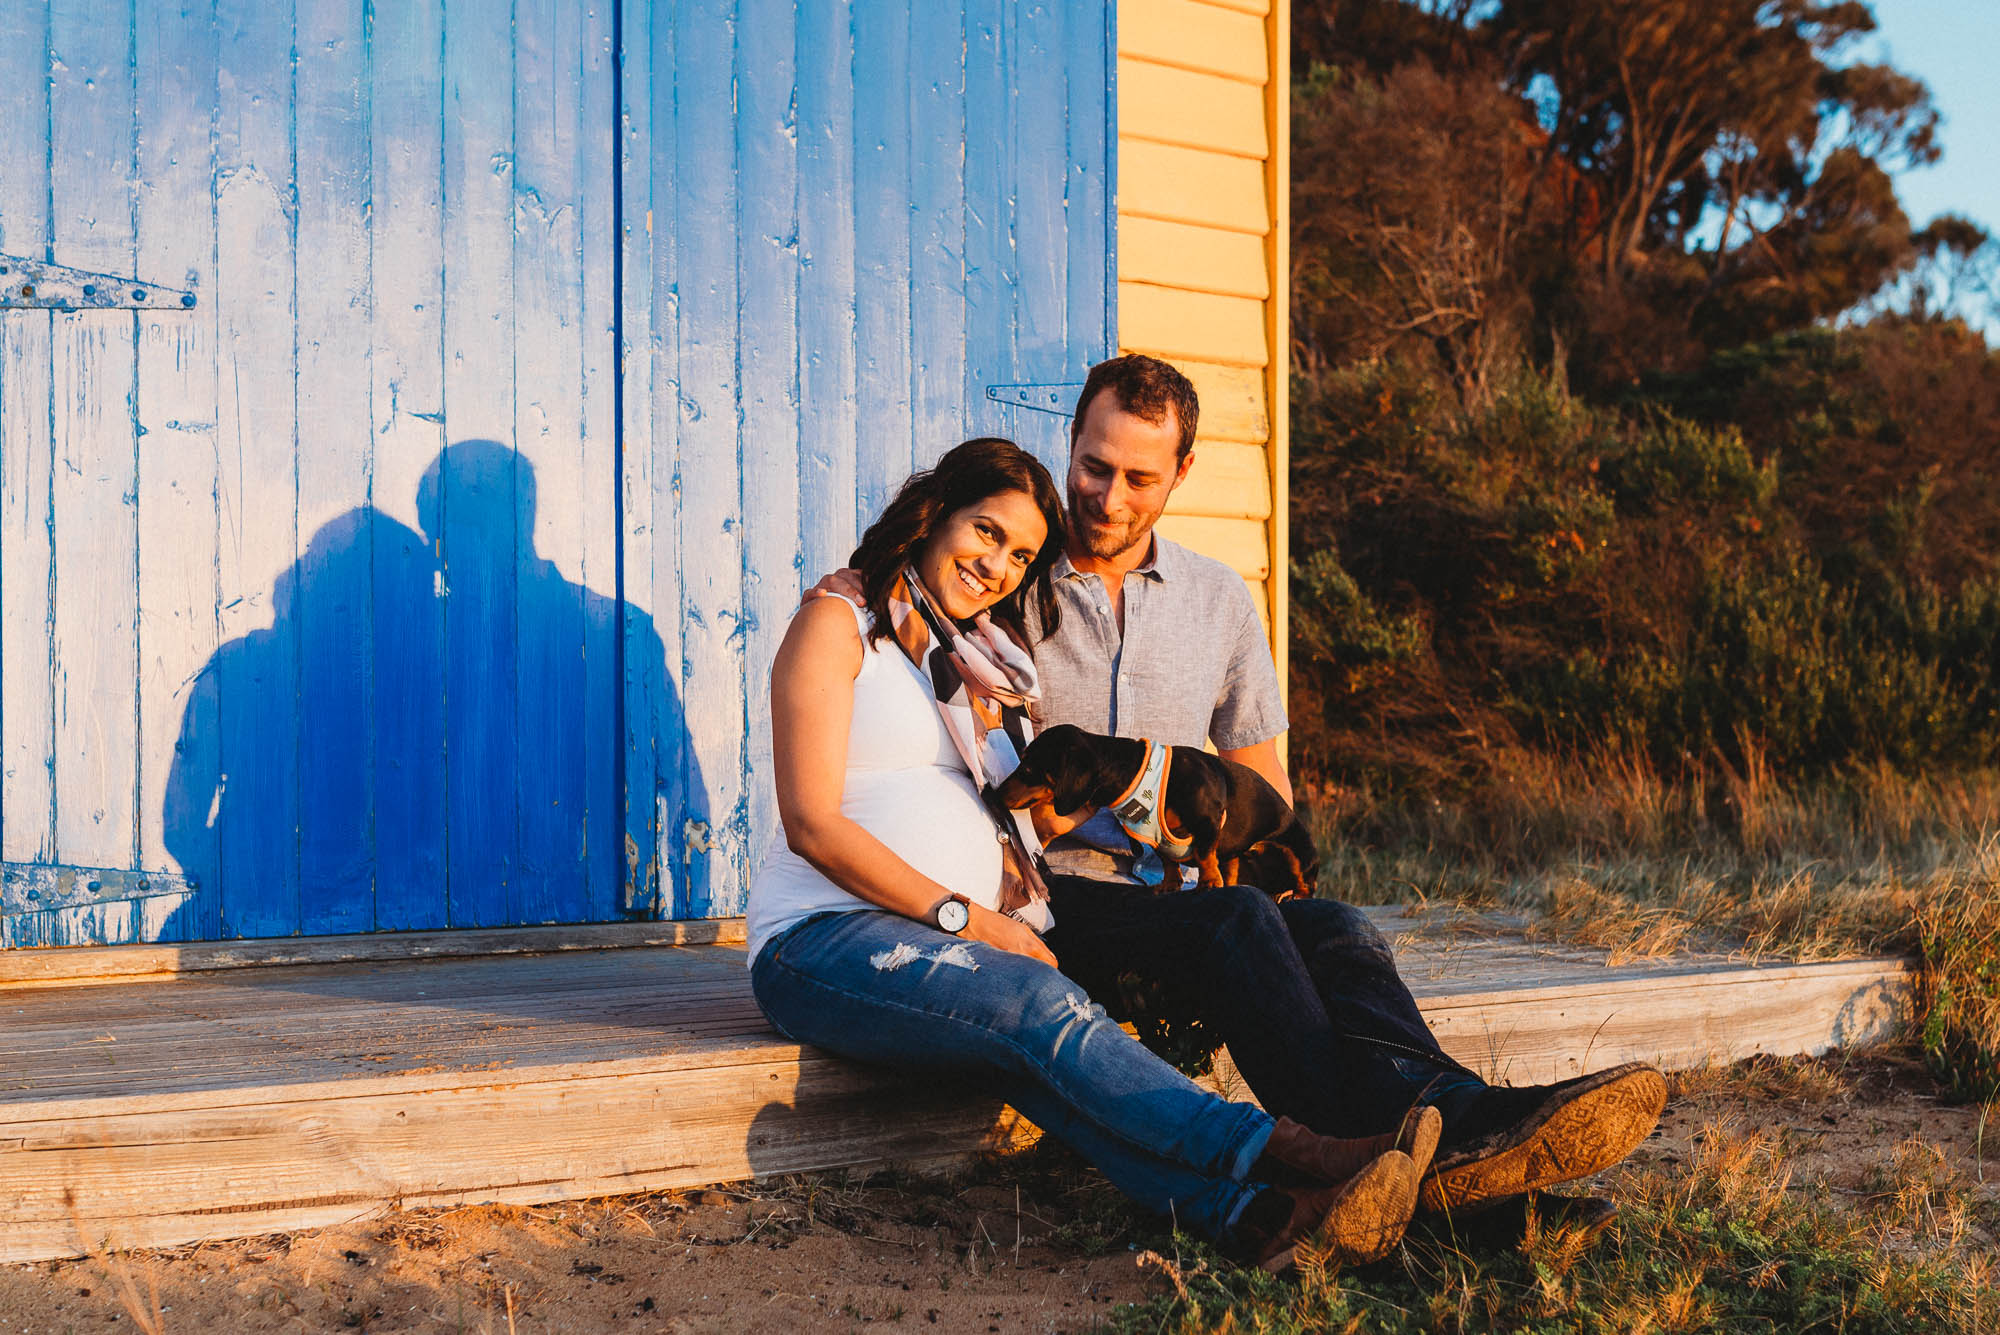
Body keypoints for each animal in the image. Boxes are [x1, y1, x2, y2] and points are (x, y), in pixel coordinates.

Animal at [992, 723, 1320, 903]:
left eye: (1028, 767)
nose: (994, 792)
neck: (1131, 770)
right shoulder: (1158, 839)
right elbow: (1168, 860)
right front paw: (1170, 885)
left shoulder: (1207, 822)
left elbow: (1204, 854)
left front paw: (1208, 883)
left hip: (1300, 853)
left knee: (1308, 883)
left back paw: (1292, 894)